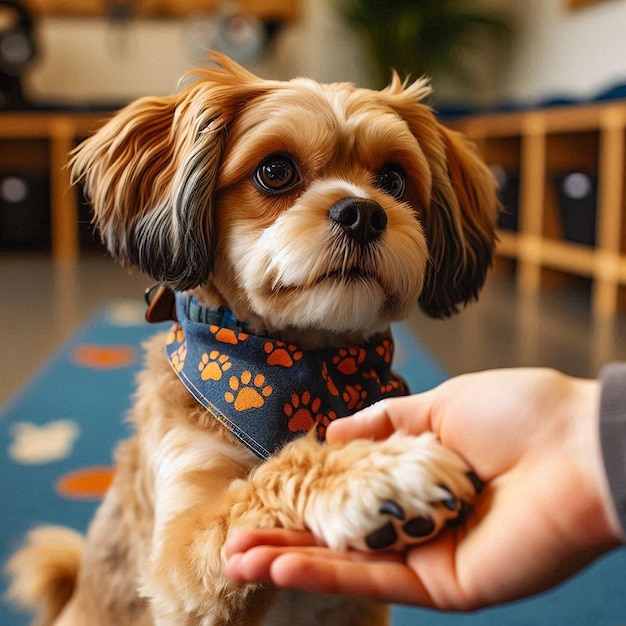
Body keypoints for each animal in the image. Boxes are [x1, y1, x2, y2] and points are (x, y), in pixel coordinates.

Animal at [6, 53, 498, 624]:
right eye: (276, 171)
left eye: (394, 180)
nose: (363, 212)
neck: (299, 365)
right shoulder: (178, 567)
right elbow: (264, 483)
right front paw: (369, 474)